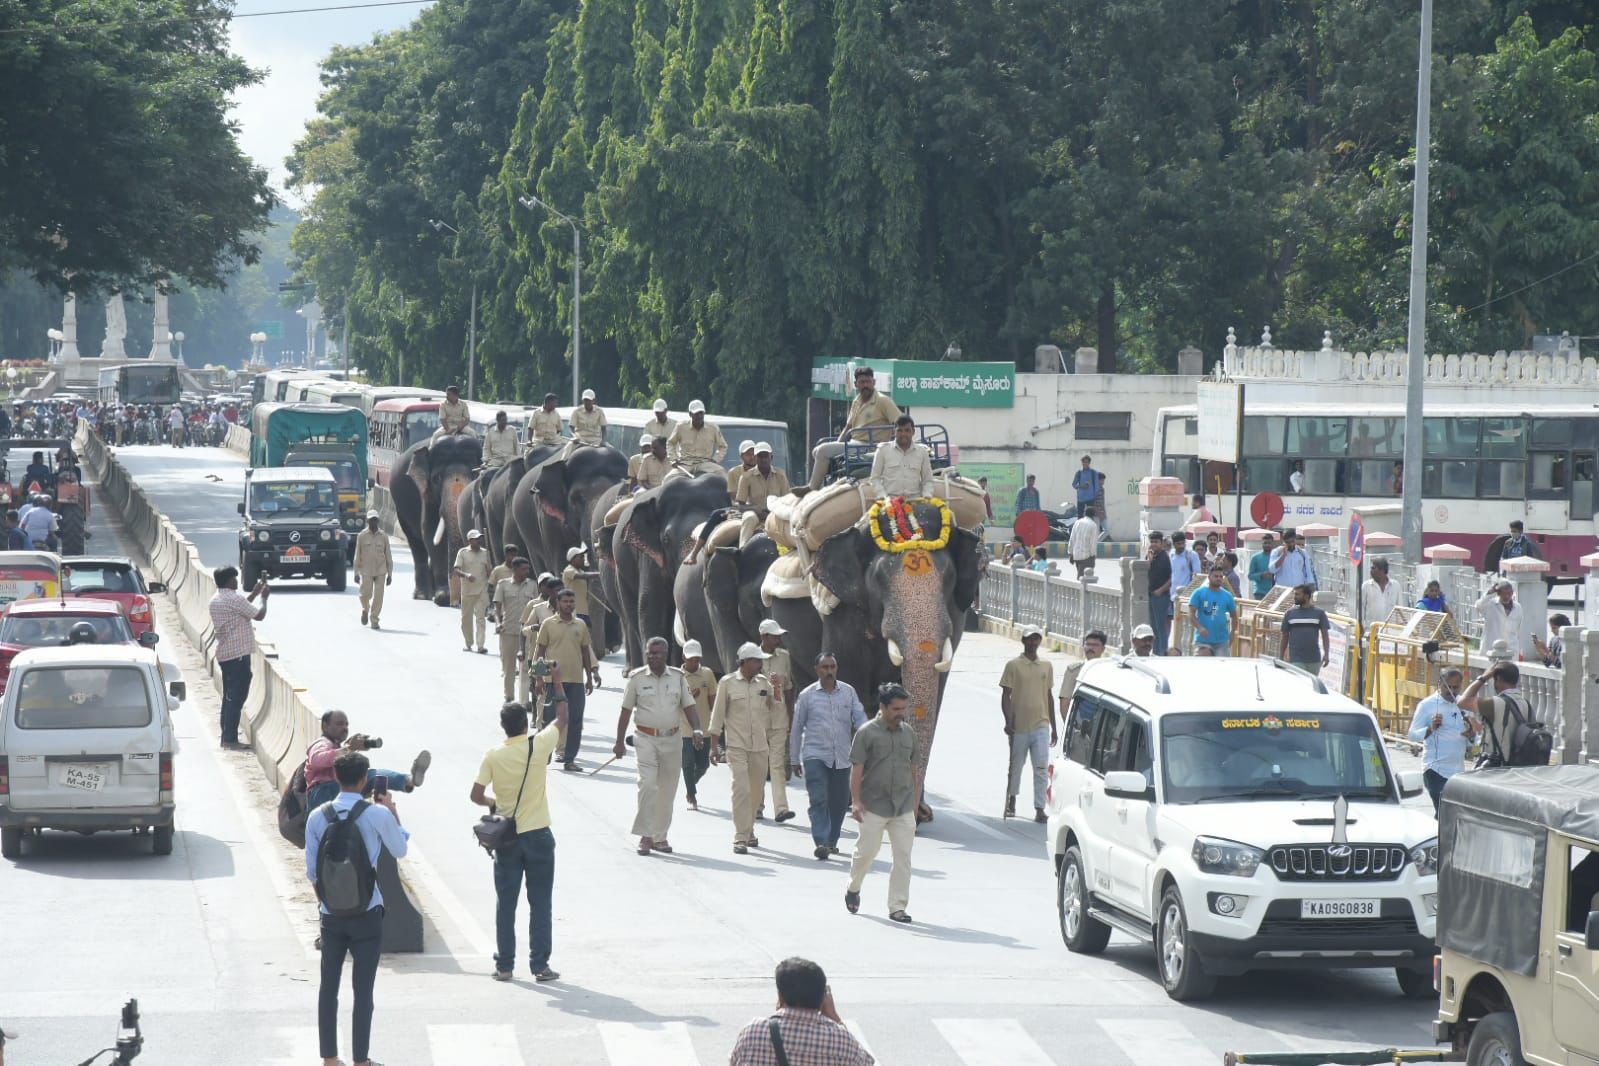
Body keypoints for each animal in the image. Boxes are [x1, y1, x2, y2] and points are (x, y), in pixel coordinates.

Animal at [391, 431, 482, 600]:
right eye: (436, 478)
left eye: (475, 474)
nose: (455, 600)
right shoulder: (426, 493)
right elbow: (430, 530)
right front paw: (443, 596)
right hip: (400, 509)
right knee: (416, 544)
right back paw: (423, 595)